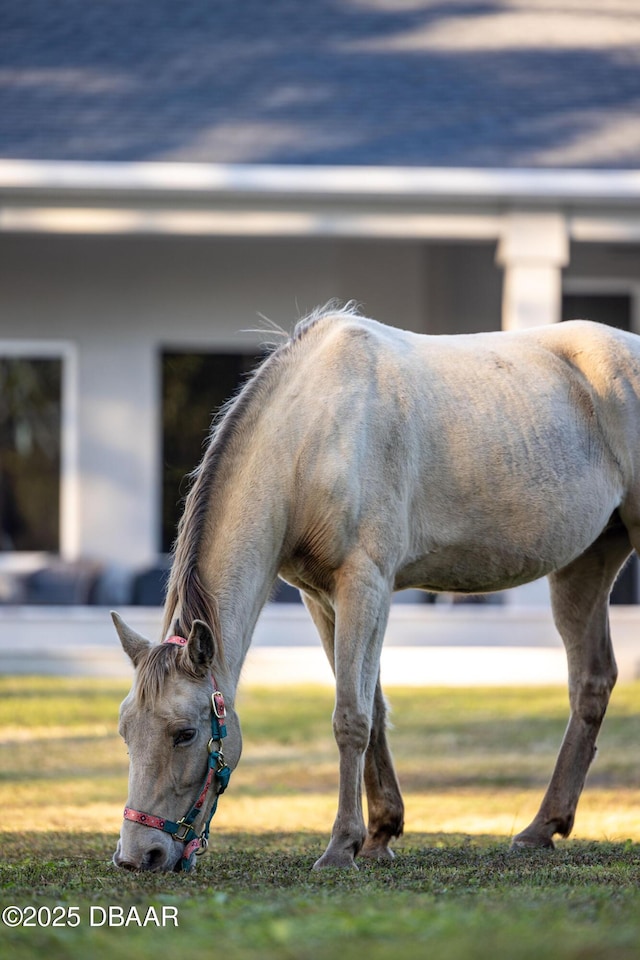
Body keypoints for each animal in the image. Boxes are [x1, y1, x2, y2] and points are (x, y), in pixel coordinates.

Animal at [112, 306, 640, 872]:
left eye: (184, 733)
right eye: (126, 730)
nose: (137, 854)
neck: (314, 435)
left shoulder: (364, 585)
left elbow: (351, 716)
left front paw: (342, 845)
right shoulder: (321, 598)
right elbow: (376, 711)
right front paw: (381, 832)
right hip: (585, 563)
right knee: (591, 682)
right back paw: (542, 827)